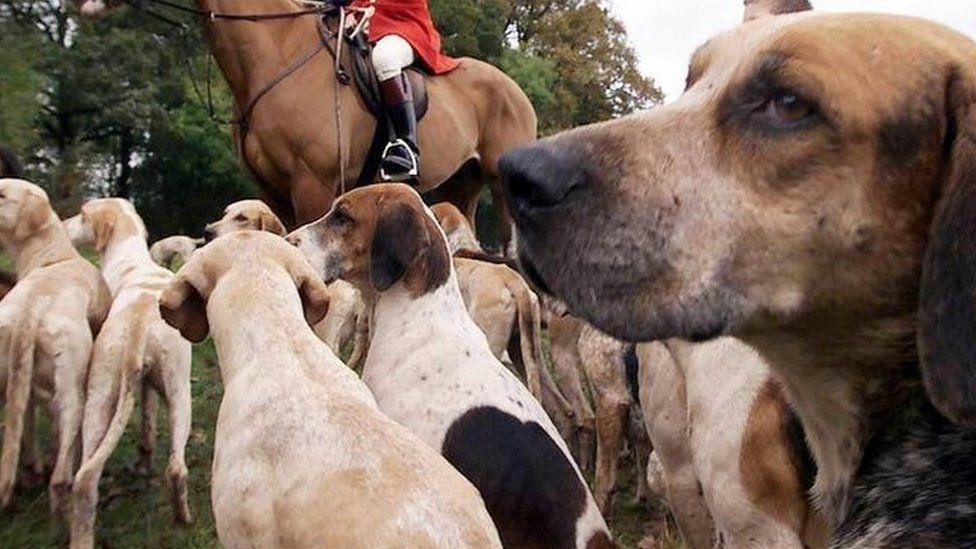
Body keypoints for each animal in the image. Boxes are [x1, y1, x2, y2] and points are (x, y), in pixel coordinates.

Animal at [74, 0, 532, 237]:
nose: (85, 8)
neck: (277, 54)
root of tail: (516, 88)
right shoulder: (275, 190)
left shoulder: (314, 185)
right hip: (461, 186)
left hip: (503, 189)